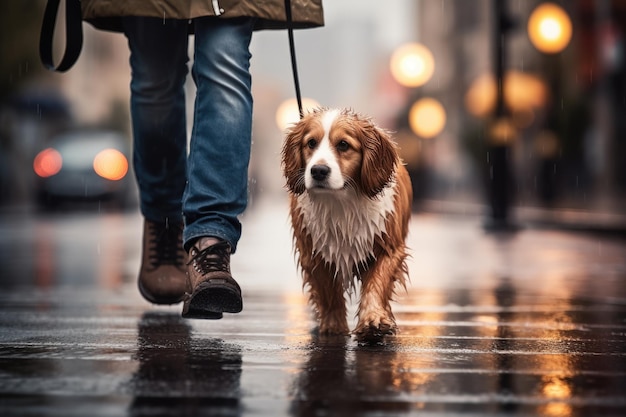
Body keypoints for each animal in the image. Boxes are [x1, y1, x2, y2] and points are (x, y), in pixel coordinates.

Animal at [282, 105, 410, 340]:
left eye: (343, 145)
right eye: (311, 143)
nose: (318, 171)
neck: (341, 201)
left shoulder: (388, 247)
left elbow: (377, 284)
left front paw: (373, 320)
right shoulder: (314, 253)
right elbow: (329, 293)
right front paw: (334, 326)